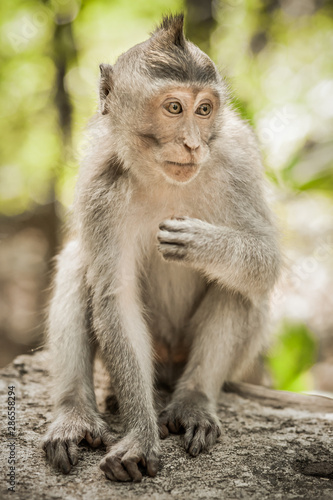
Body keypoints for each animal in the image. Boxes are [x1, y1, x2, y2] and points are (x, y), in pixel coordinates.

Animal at [41, 15, 280, 482]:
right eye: (174, 108)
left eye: (204, 110)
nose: (193, 144)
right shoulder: (99, 185)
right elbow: (115, 297)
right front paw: (140, 435)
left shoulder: (237, 160)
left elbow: (266, 261)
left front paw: (203, 242)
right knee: (80, 263)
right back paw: (77, 413)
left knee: (240, 284)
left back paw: (194, 401)